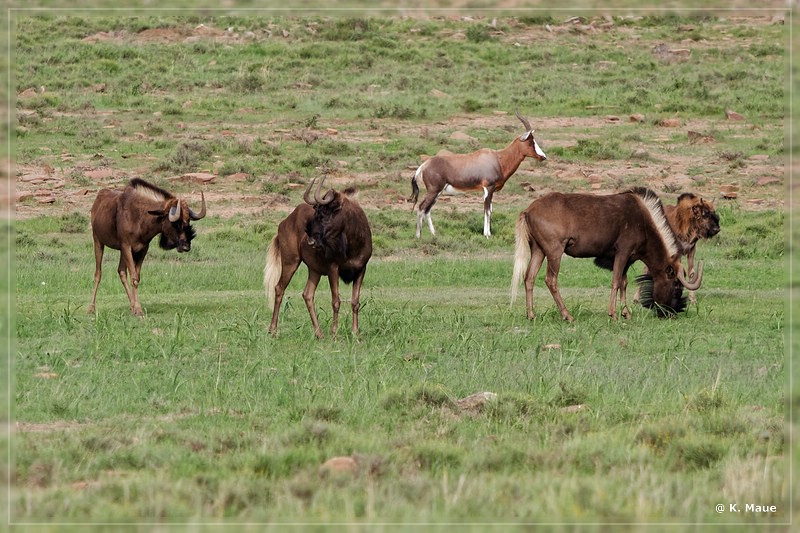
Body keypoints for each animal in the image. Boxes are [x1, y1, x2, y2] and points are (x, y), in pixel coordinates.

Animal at [410, 110, 548, 237]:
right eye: (531, 142)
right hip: (433, 191)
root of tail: (424, 165)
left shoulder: (489, 190)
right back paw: (418, 236)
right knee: (421, 207)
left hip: (438, 192)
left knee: (427, 210)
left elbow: (490, 209)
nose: (543, 157)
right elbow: (487, 210)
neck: (498, 158)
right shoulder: (488, 188)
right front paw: (487, 235)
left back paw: (434, 234)